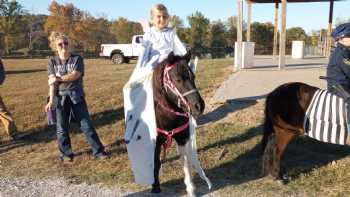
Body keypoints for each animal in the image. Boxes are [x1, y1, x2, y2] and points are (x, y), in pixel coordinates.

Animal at [151, 51, 206, 196]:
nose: (199, 106)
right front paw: (155, 186)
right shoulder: (155, 142)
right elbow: (155, 162)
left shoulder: (182, 138)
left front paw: (191, 188)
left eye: (193, 77)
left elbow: (185, 163)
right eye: (178, 80)